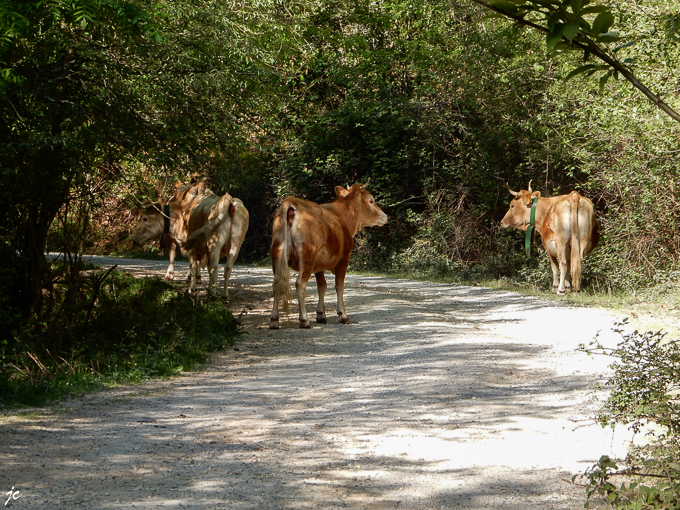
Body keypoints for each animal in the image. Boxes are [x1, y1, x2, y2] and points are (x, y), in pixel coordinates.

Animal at [270, 183, 388, 330]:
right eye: (371, 201)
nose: (385, 216)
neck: (342, 216)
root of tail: (292, 202)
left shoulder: (319, 265)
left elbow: (322, 286)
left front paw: (321, 315)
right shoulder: (343, 259)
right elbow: (339, 286)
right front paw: (343, 315)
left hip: (277, 252)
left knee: (277, 282)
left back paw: (274, 320)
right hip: (307, 256)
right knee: (300, 283)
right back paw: (304, 320)